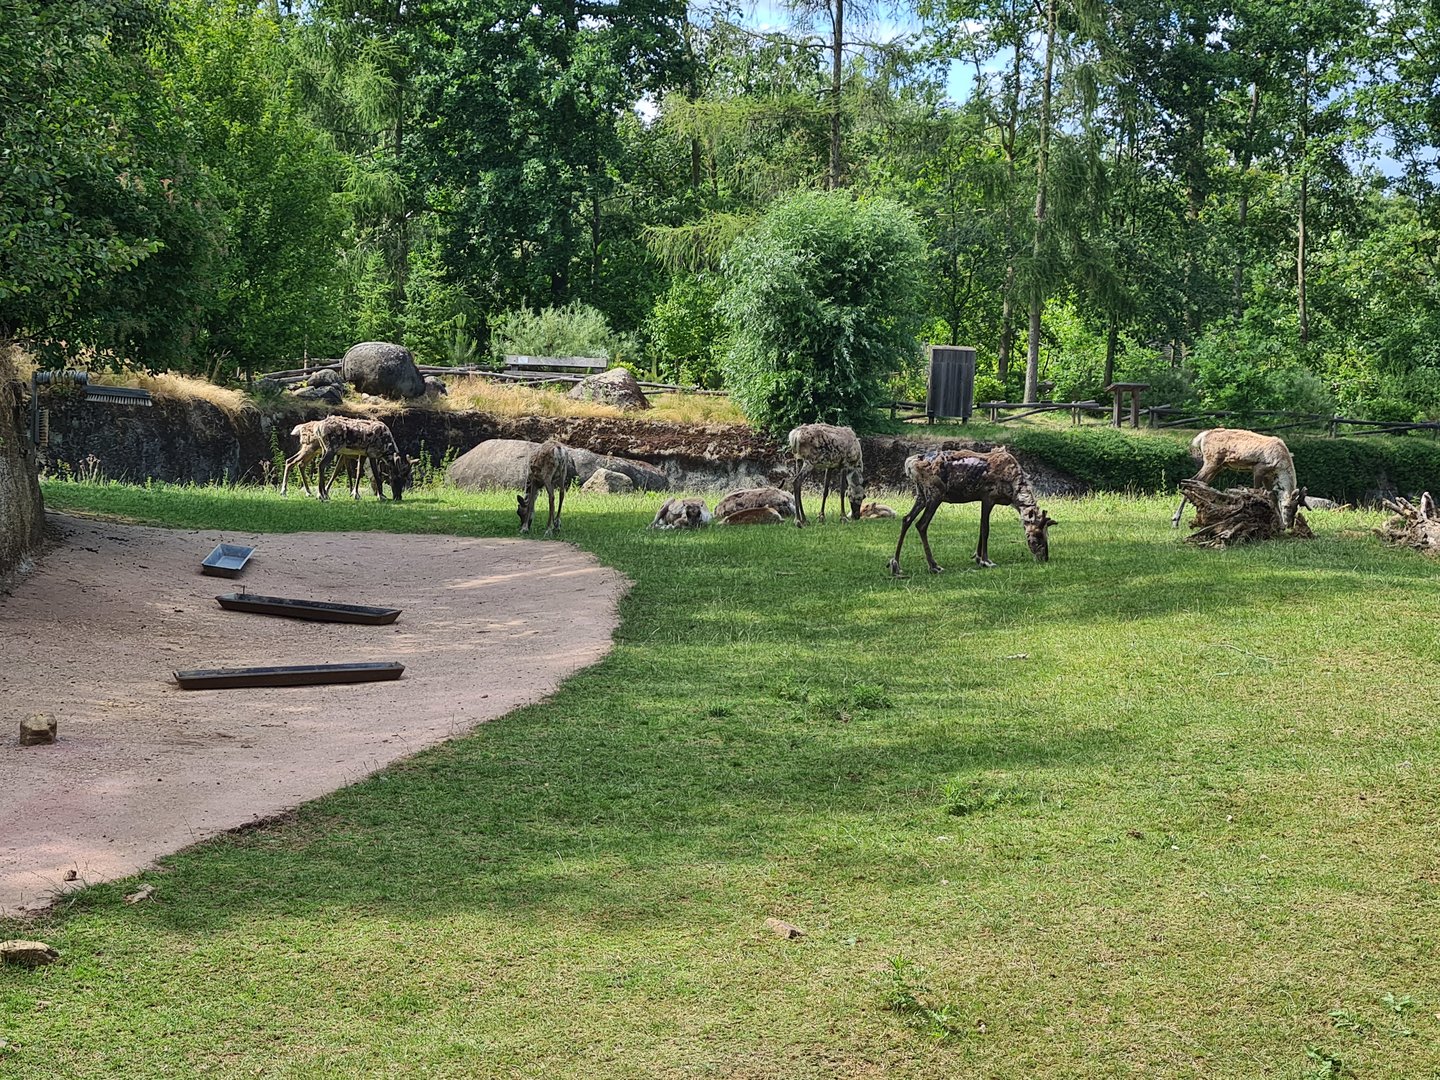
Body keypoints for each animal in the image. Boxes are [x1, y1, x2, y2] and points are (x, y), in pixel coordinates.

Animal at [889, 447, 1055, 576]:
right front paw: (986, 561)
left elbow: (981, 528)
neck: (1014, 489)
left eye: (1047, 535)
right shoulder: (988, 497)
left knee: (906, 519)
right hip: (935, 494)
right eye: (1037, 536)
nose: (1045, 558)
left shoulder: (982, 499)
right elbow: (985, 528)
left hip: (921, 495)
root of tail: (911, 464)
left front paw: (978, 558)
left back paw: (895, 565)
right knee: (921, 524)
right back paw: (934, 566)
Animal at [1171, 428, 1305, 529]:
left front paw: (1279, 525)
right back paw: (1175, 520)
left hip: (1218, 466)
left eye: (1296, 508)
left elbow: (1273, 497)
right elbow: (1258, 492)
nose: (1289, 525)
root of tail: (1202, 436)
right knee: (1190, 480)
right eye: (1288, 506)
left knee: (1197, 482)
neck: (1280, 465)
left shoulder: (1268, 476)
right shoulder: (1259, 468)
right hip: (1211, 461)